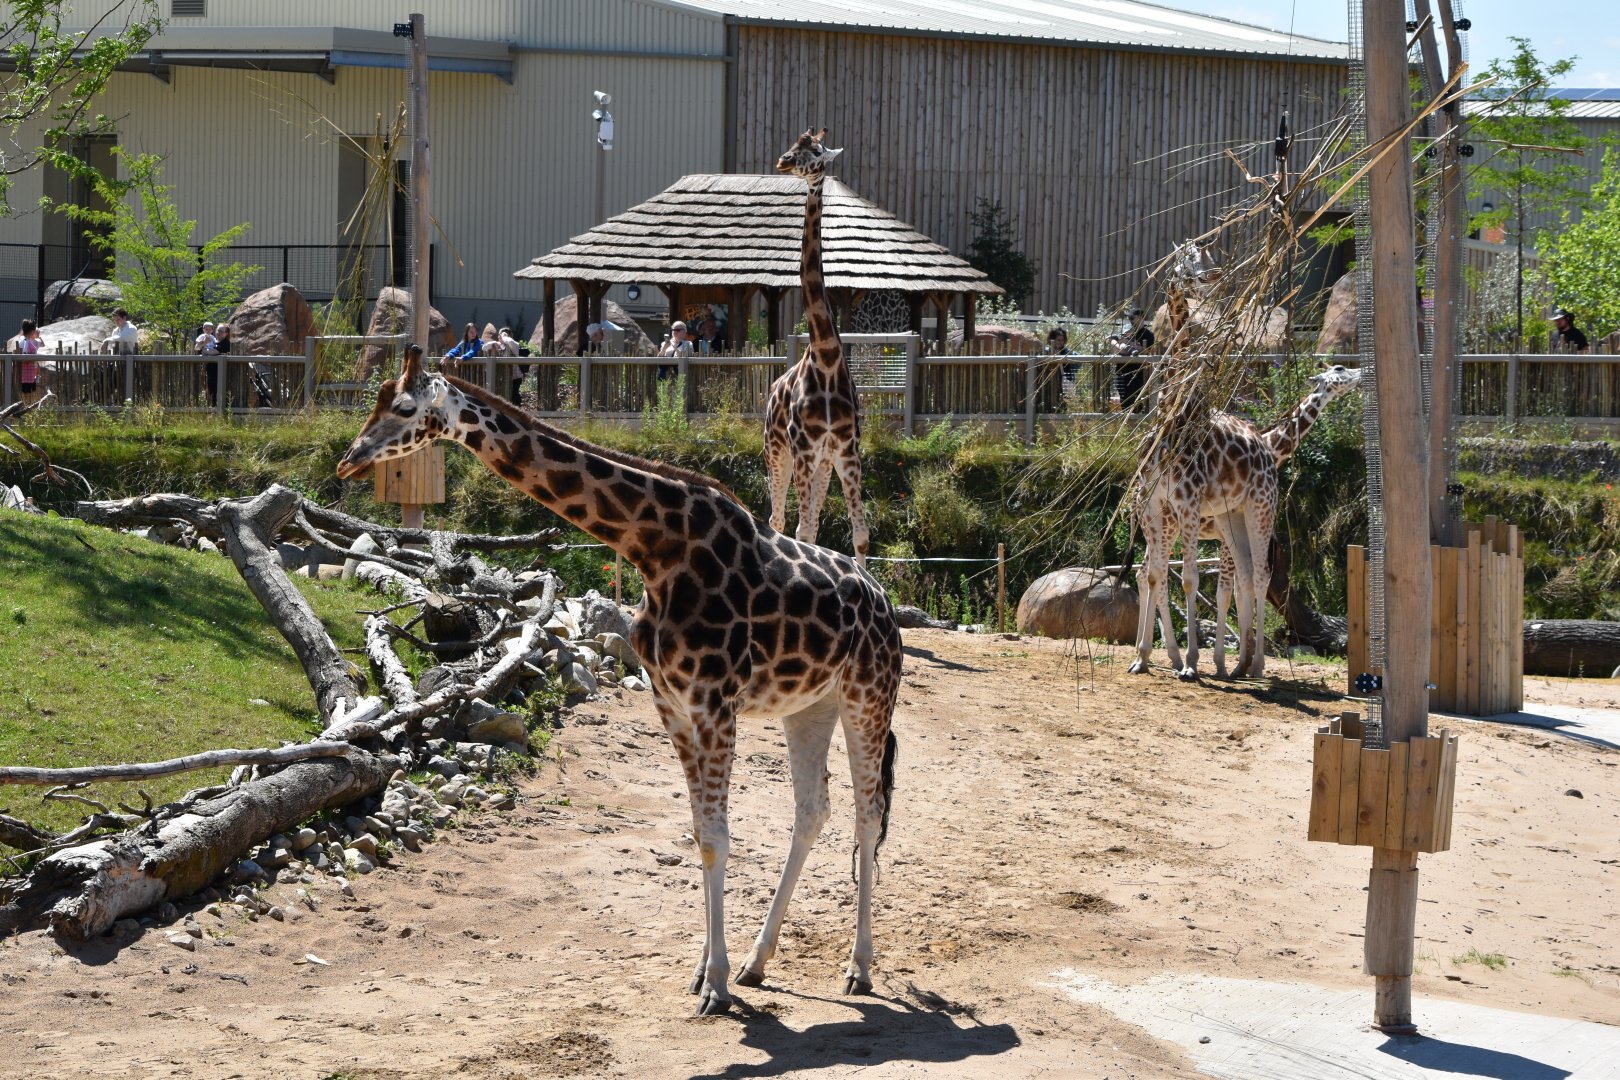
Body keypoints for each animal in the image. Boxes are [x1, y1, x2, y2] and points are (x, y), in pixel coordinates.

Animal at [335, 344, 903, 1016]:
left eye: (402, 407)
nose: (349, 459)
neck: (654, 550)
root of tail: (884, 600)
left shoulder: (714, 703)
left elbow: (717, 837)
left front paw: (713, 986)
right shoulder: (673, 704)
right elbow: (701, 834)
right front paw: (707, 972)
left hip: (868, 697)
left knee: (868, 813)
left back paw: (858, 968)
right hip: (808, 705)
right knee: (813, 809)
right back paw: (759, 963)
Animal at [1131, 365, 1362, 680]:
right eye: (1339, 370)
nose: (1359, 372)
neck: (1273, 448)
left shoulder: (1225, 527)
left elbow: (1240, 587)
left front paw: (1236, 660)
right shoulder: (1226, 528)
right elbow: (1229, 591)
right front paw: (1226, 662)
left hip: (1159, 519)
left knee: (1149, 574)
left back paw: (1153, 656)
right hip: (1172, 520)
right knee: (1165, 577)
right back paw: (1181, 659)